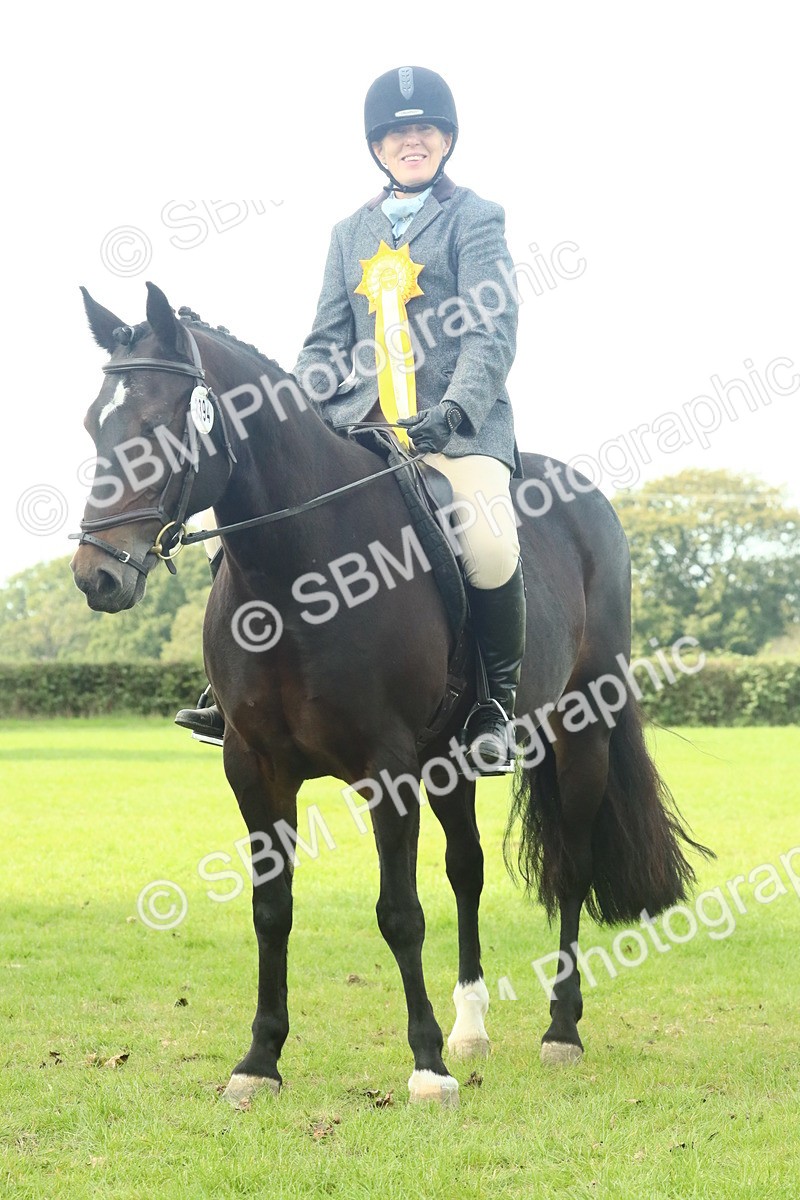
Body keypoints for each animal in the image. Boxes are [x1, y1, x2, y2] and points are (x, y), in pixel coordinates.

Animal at [71, 282, 710, 1108]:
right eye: (96, 425)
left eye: (157, 426)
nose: (97, 576)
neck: (297, 577)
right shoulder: (254, 767)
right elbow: (272, 909)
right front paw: (260, 1061)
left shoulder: (388, 767)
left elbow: (399, 913)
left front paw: (428, 1068)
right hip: (452, 758)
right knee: (468, 868)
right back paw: (473, 1029)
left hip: (580, 732)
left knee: (569, 867)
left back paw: (560, 1030)